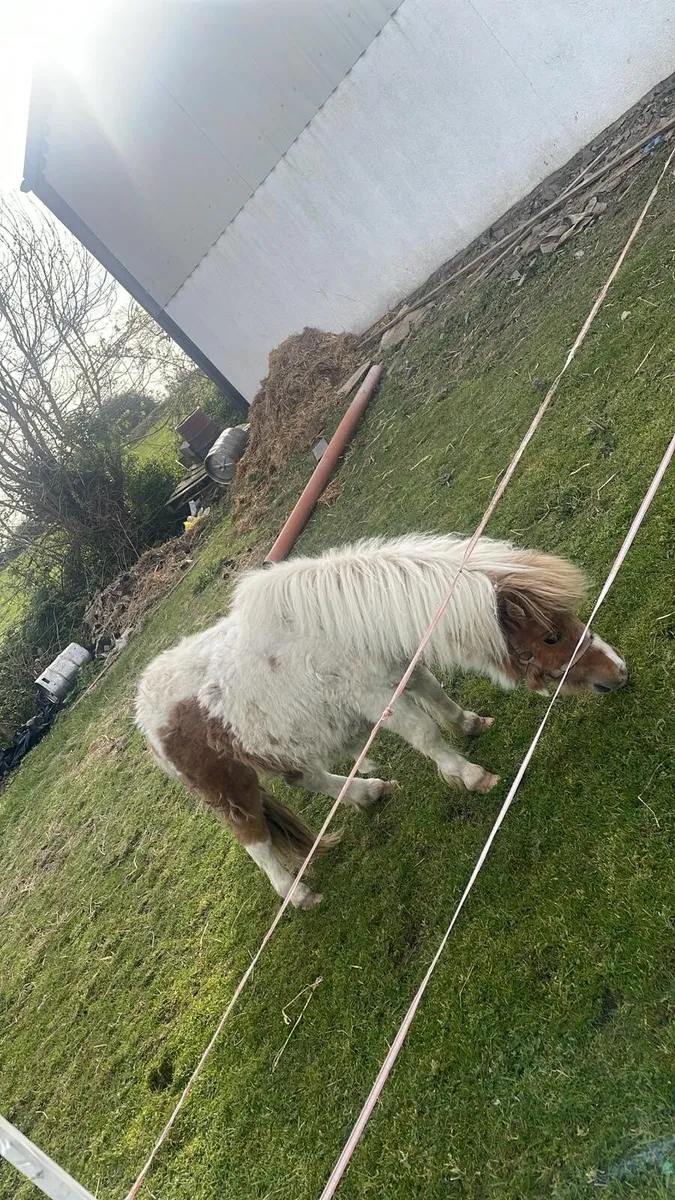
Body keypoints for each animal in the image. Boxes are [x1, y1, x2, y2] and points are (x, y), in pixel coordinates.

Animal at [136, 533, 627, 909]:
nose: (619, 673)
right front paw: (470, 775)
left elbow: (438, 696)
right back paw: (297, 894)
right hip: (229, 788)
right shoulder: (378, 701)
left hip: (279, 752)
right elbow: (425, 733)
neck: (353, 629)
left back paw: (368, 792)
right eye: (552, 636)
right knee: (255, 839)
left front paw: (470, 725)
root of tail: (144, 713)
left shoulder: (403, 669)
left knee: (310, 779)